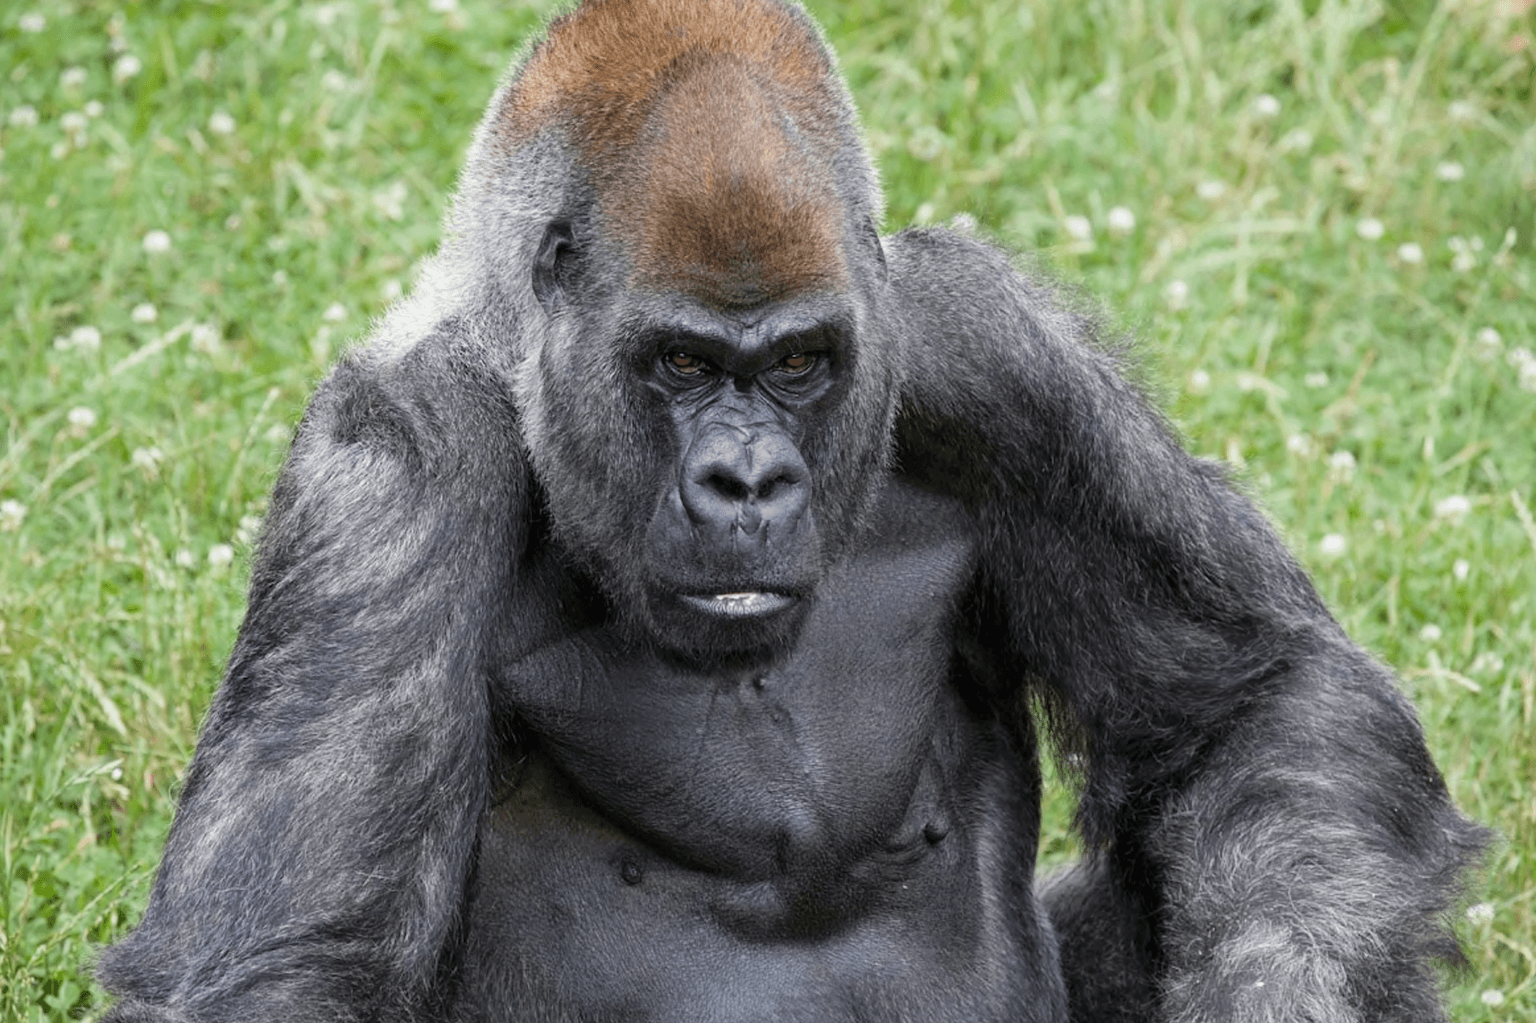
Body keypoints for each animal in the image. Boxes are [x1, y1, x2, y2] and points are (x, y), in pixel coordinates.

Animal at [97, 1, 1485, 1020]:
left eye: (801, 364)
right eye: (681, 364)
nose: (750, 482)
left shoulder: (990, 352)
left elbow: (1251, 704)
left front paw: (1285, 990)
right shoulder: (395, 470)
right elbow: (288, 957)